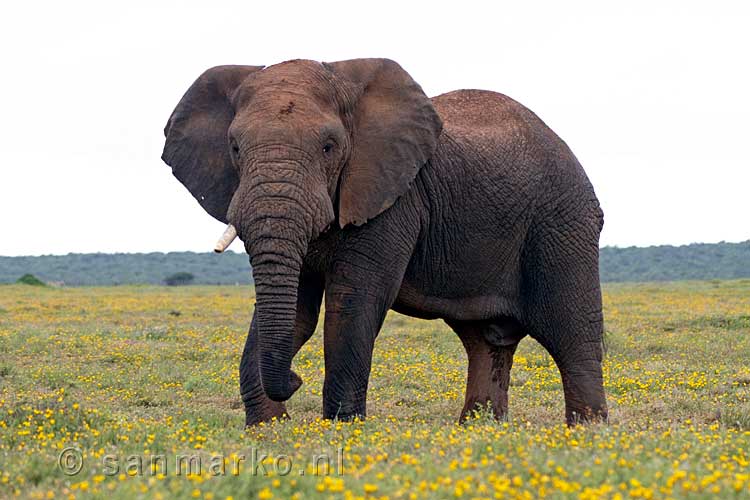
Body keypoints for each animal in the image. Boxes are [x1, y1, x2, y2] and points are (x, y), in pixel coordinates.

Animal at [163, 58, 612, 426]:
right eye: (235, 147)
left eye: (329, 147)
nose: (295, 379)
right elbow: (297, 312)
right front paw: (269, 429)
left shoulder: (394, 196)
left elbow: (352, 300)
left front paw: (342, 429)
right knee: (484, 339)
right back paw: (478, 430)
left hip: (563, 221)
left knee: (570, 331)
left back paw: (587, 434)